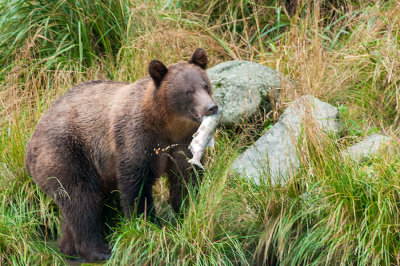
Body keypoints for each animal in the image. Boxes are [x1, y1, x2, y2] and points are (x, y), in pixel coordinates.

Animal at [24, 47, 219, 262]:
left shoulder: (183, 143)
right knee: (81, 199)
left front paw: (186, 213)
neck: (166, 124)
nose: (211, 107)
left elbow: (186, 180)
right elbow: (135, 185)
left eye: (205, 85)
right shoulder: (136, 138)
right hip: (66, 152)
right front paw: (146, 225)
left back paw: (68, 248)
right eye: (188, 91)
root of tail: (30, 143)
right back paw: (98, 250)